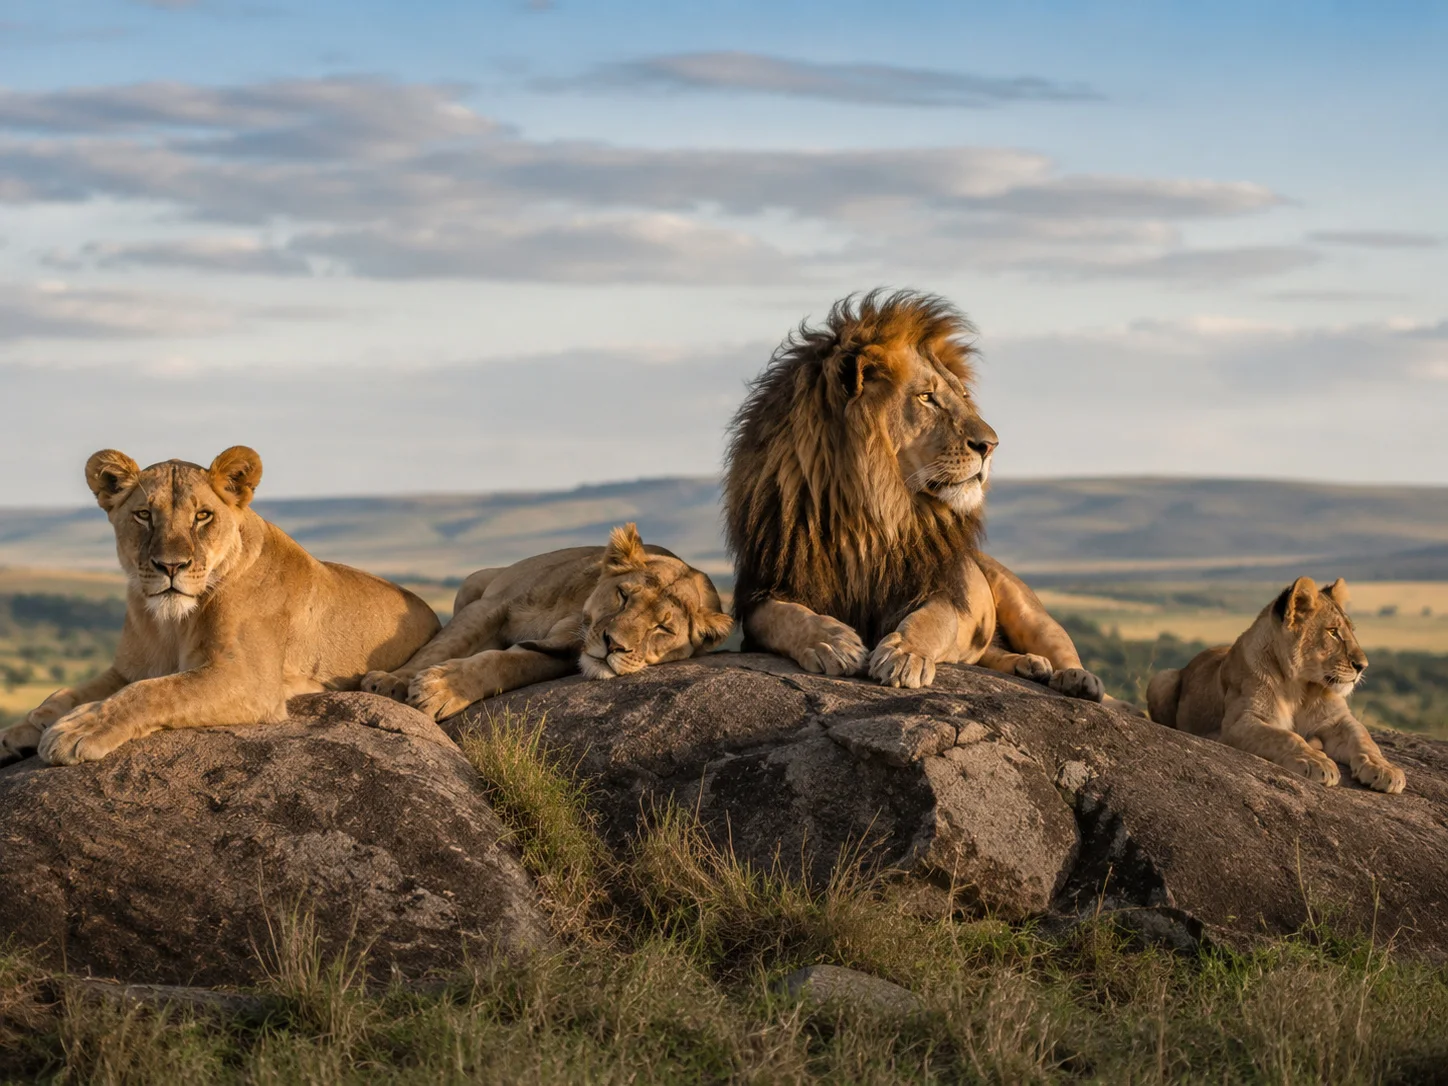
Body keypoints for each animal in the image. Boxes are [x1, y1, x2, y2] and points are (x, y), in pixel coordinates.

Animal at [0, 446, 440, 766]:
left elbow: (153, 691)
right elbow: (65, 692)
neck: (171, 624)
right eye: (143, 515)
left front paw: (77, 731)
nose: (171, 566)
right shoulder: (126, 668)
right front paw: (22, 730)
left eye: (202, 515)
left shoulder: (248, 677)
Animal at [361, 522, 733, 721]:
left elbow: (507, 664)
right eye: (624, 595)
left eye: (663, 628)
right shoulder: (494, 605)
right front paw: (390, 681)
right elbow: (441, 646)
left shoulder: (565, 655)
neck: (577, 612)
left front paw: (442, 689)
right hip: (474, 580)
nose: (613, 645)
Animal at [722, 289, 1103, 700]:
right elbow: (786, 616)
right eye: (926, 397)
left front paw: (904, 655)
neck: (869, 514)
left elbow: (931, 620)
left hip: (1026, 606)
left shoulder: (937, 587)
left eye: (963, 396)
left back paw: (1076, 679)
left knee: (1060, 646)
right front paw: (832, 642)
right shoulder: (765, 590)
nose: (991, 445)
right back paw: (1029, 666)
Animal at [1146, 576, 1404, 793]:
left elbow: (1365, 739)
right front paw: (1315, 761)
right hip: (1162, 678)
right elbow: (1287, 737)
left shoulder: (1338, 720)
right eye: (1332, 632)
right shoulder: (1240, 722)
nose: (1363, 666)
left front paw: (1386, 770)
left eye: (1351, 631)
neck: (1301, 686)